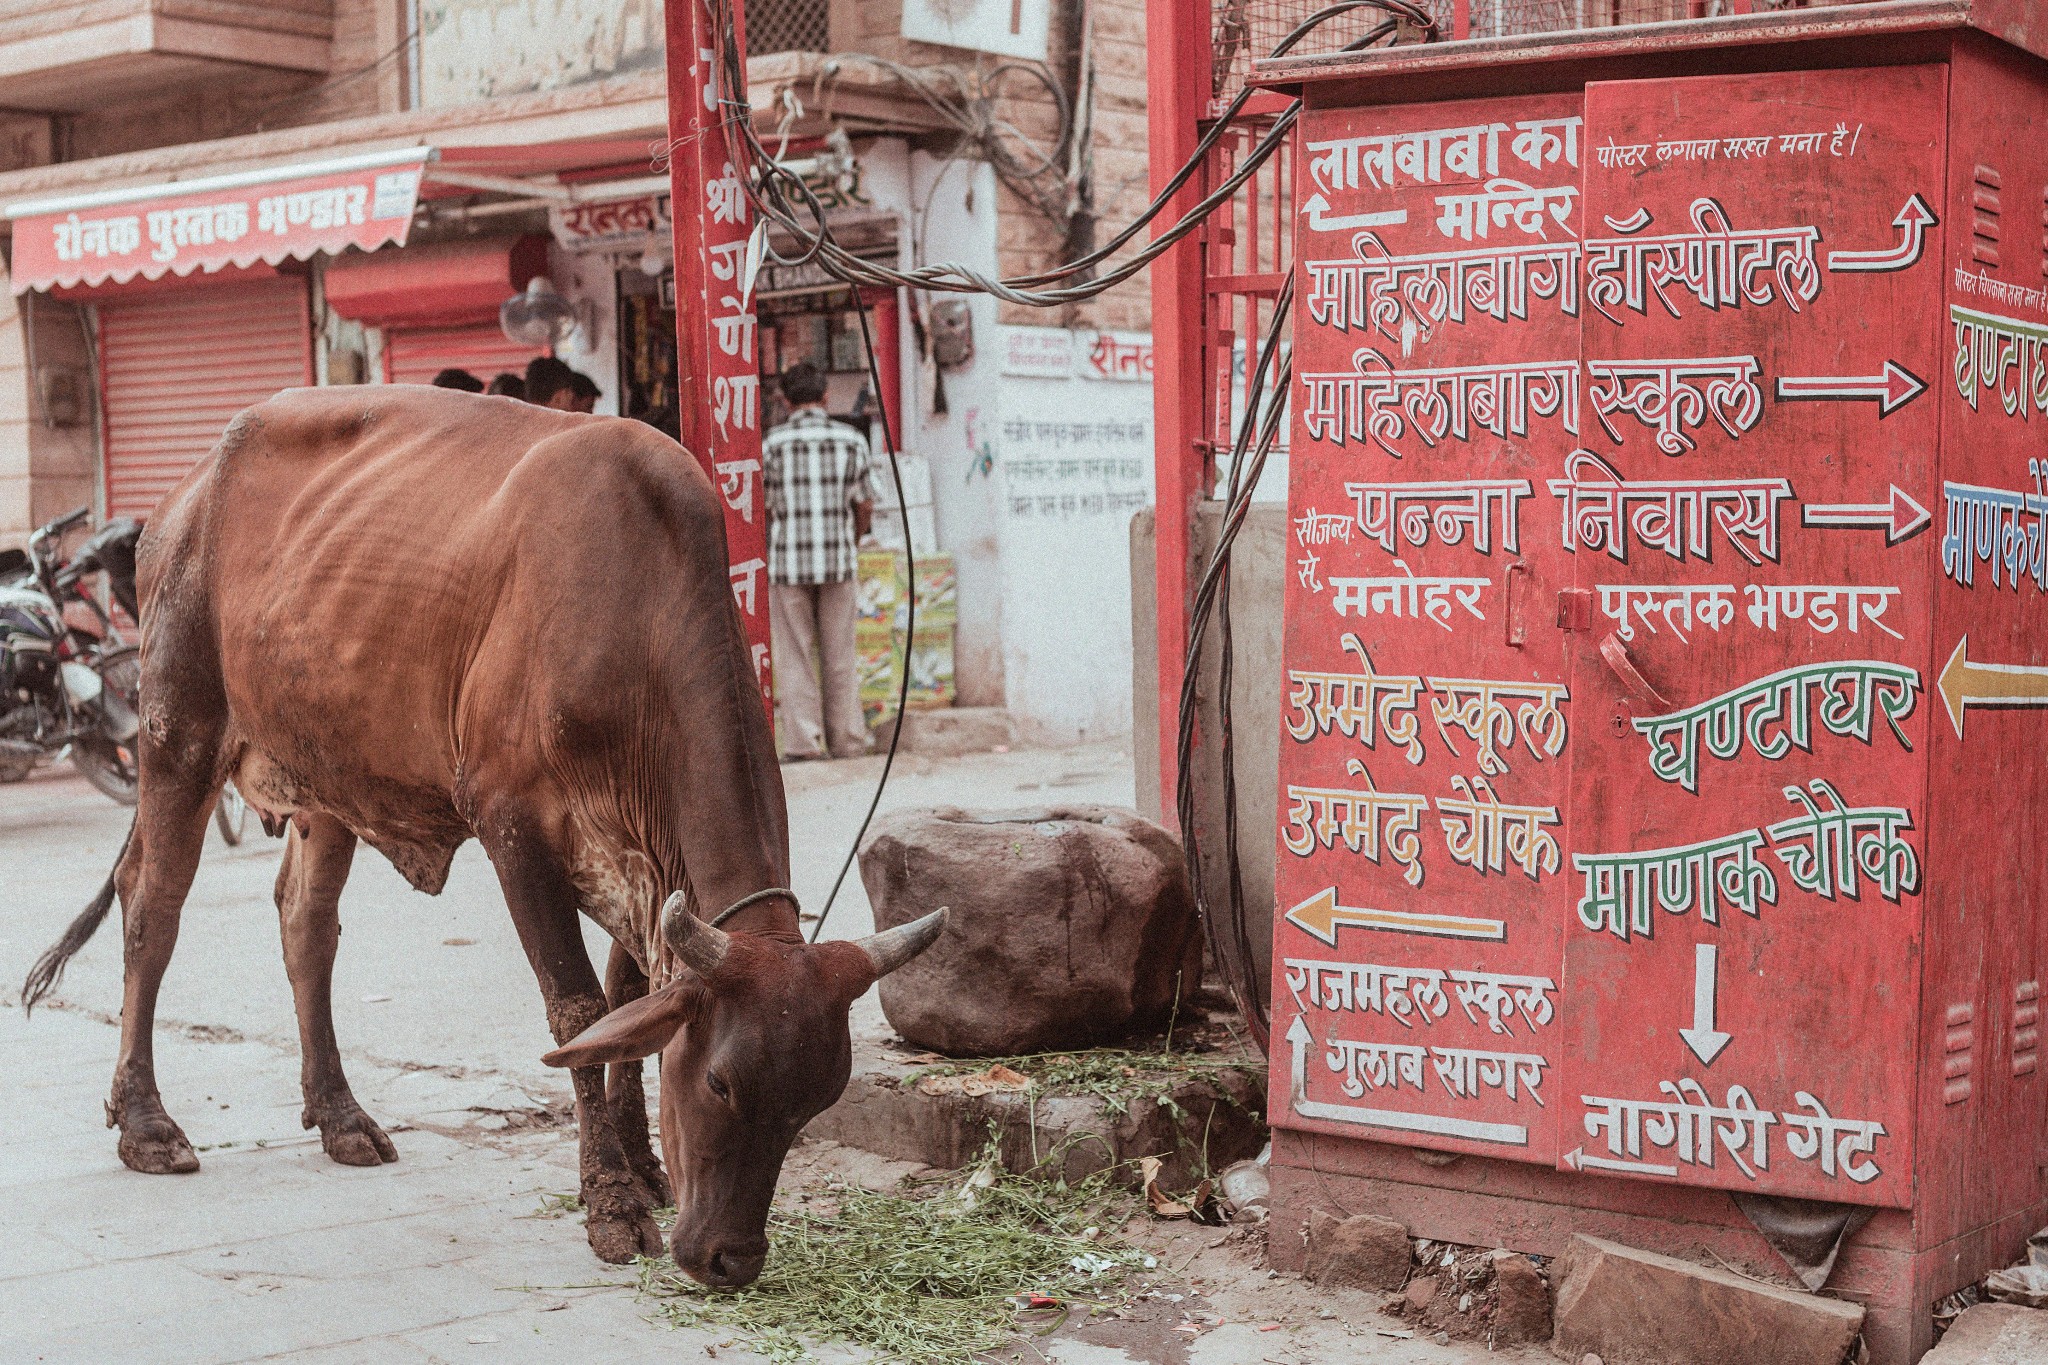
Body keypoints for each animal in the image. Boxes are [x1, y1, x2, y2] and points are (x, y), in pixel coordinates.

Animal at [22, 386, 942, 1293]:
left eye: (816, 1101)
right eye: (719, 1082)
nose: (731, 1258)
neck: (635, 616)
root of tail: (182, 498)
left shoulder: (640, 866)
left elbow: (629, 998)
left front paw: (645, 1166)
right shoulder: (515, 829)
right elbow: (578, 1009)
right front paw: (612, 1202)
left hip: (325, 775)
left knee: (305, 925)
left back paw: (341, 1114)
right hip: (177, 733)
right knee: (153, 909)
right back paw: (147, 1123)